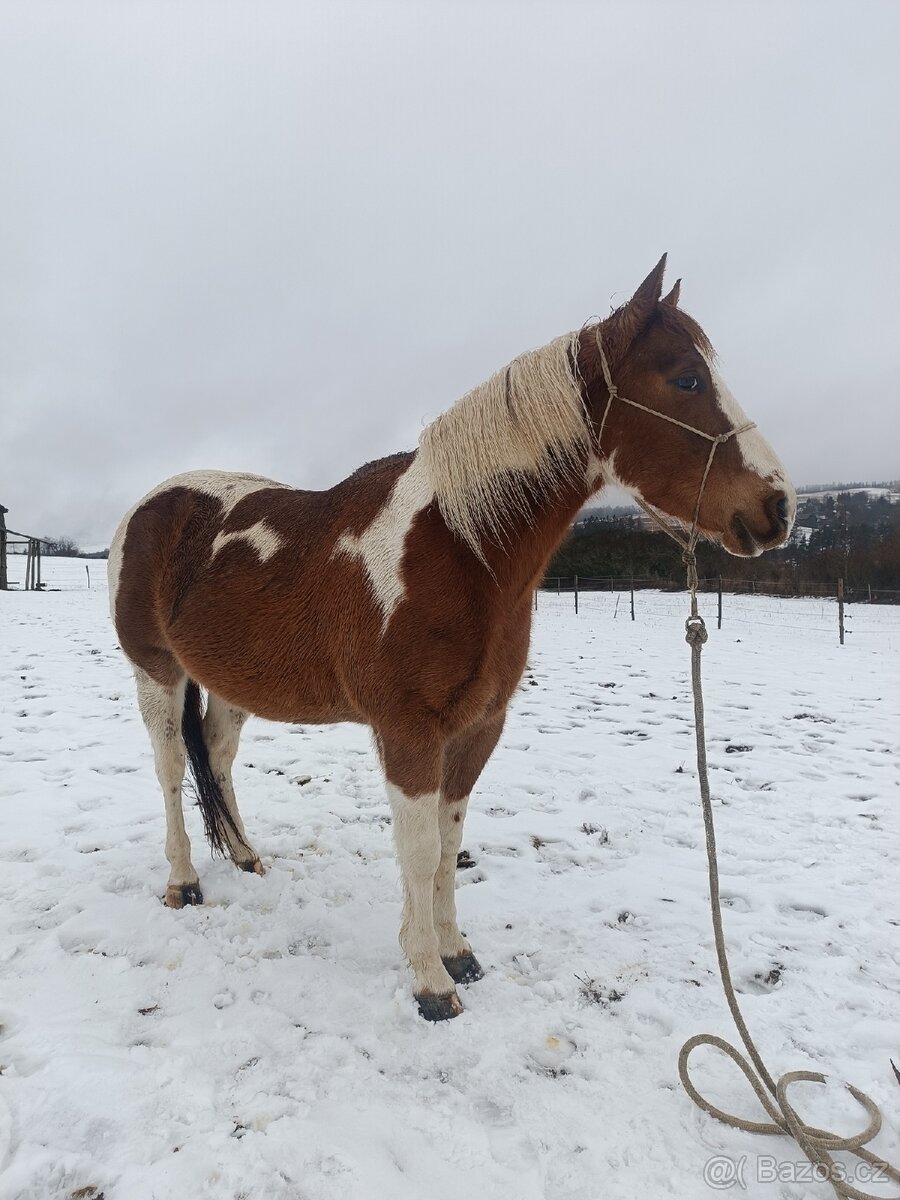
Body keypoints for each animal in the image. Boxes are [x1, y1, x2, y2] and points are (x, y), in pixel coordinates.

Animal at [108, 255, 795, 1021]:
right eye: (686, 379)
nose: (778, 508)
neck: (460, 551)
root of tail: (151, 505)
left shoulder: (477, 728)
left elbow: (448, 841)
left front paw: (456, 952)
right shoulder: (409, 733)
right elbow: (416, 849)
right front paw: (430, 981)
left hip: (230, 682)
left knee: (219, 758)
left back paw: (246, 856)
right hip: (156, 673)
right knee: (172, 769)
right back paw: (184, 881)